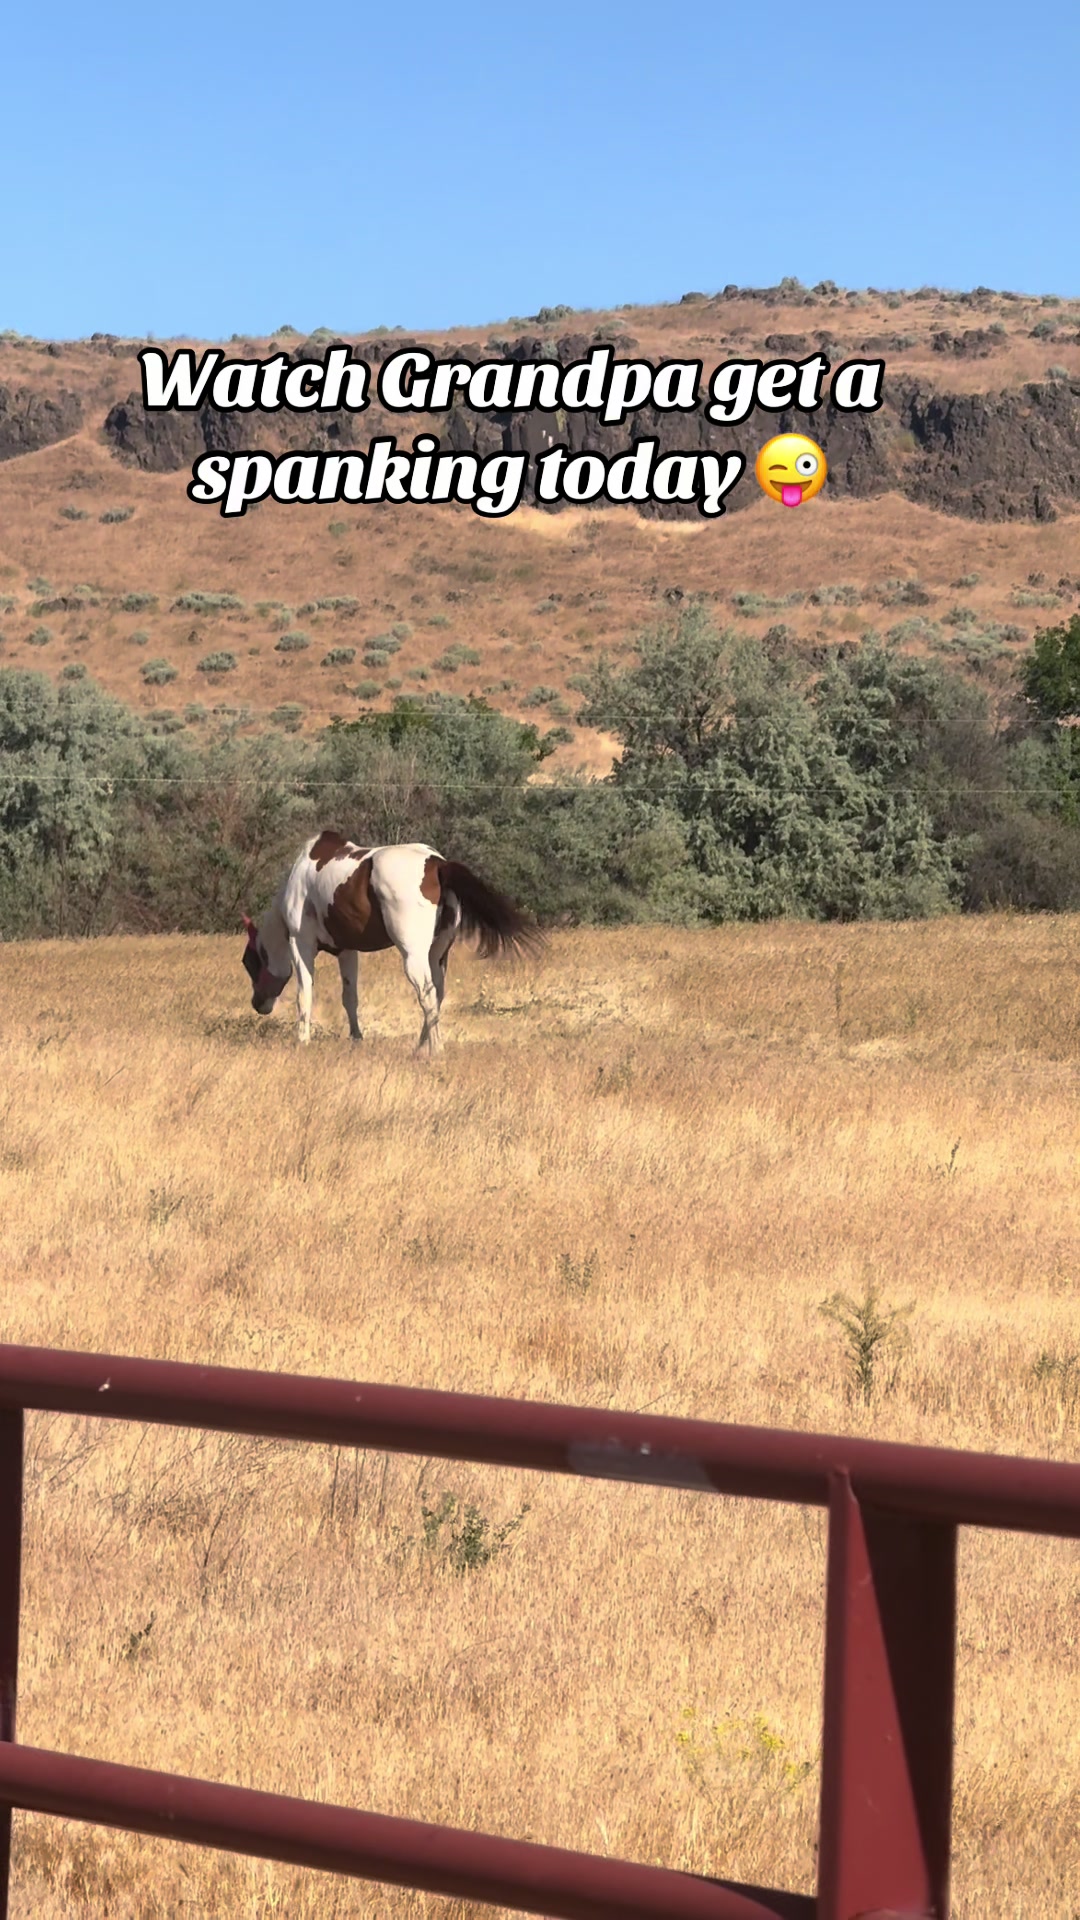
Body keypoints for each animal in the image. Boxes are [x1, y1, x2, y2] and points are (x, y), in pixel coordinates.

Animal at [241, 830, 542, 1052]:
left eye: (249, 962)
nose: (258, 1004)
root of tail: (437, 864)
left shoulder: (301, 943)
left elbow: (304, 993)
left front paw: (302, 1040)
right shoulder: (347, 950)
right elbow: (350, 997)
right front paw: (356, 1038)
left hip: (413, 957)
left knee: (427, 995)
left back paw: (435, 1050)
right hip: (437, 955)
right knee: (437, 995)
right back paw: (421, 1048)